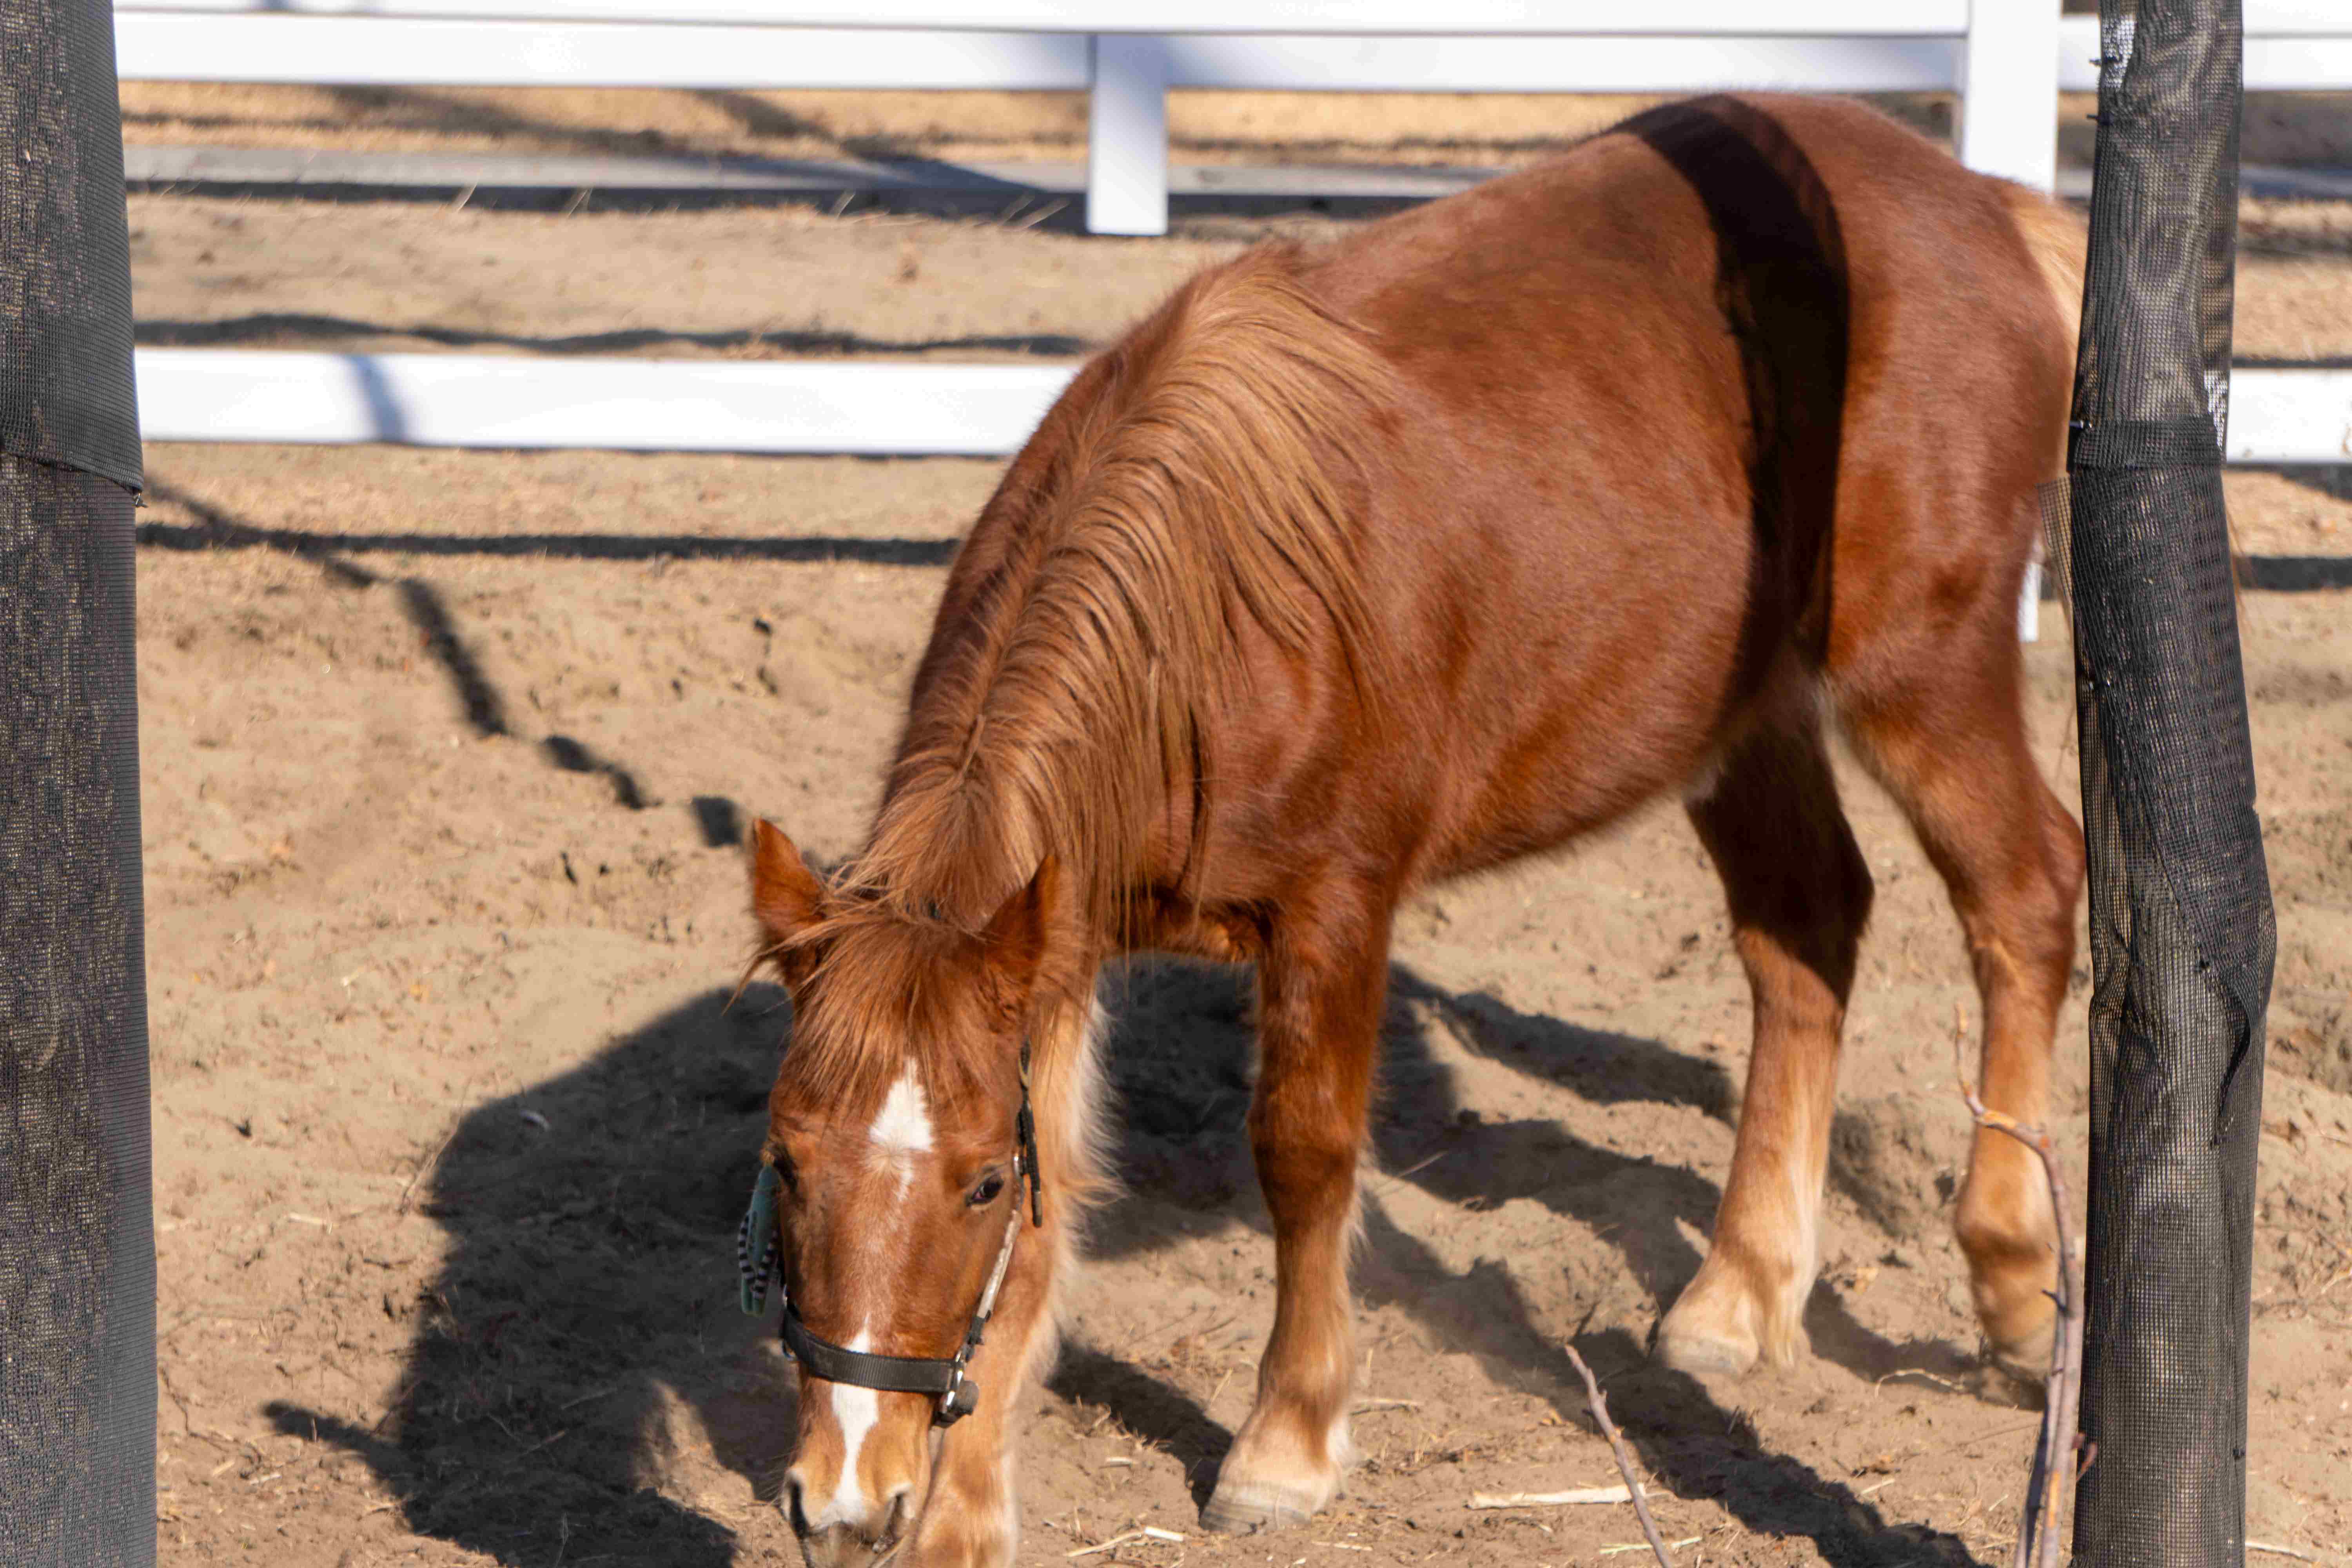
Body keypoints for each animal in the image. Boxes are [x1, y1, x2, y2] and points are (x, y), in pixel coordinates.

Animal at [738, 93, 2087, 1567]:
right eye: (788, 1161)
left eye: (977, 1183)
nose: (843, 1499)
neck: (1208, 618)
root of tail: (1985, 205)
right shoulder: (1056, 931)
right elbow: (1065, 1187)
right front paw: (962, 1515)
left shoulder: (1334, 906)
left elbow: (1303, 1153)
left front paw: (1284, 1442)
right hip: (1744, 718)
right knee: (1807, 927)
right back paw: (1739, 1297)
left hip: (1923, 675)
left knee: (2025, 894)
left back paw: (2014, 1284)